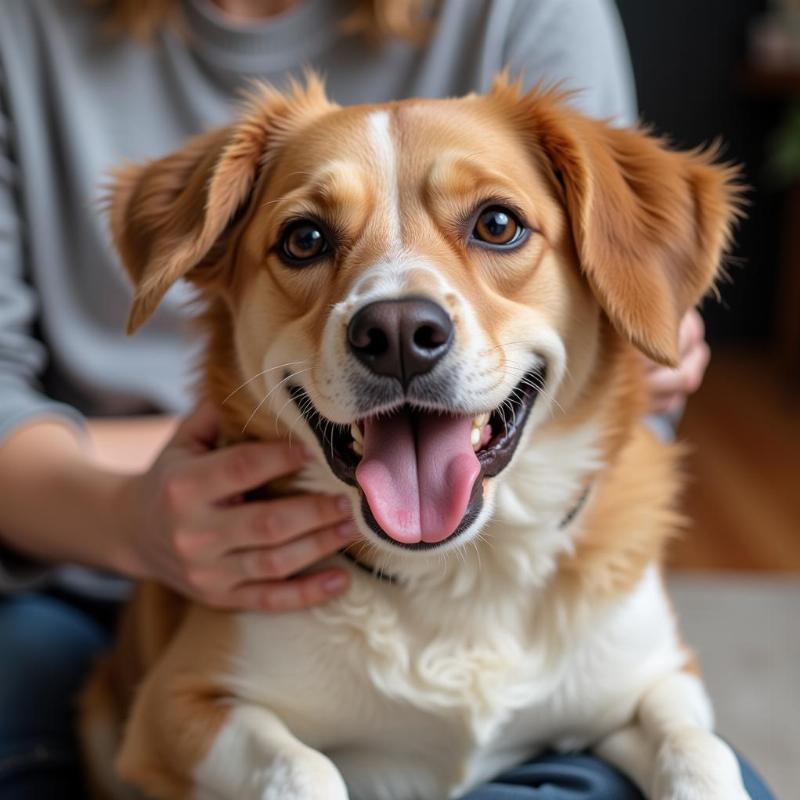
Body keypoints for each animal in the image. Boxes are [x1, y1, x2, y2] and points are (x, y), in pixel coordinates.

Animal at [78, 76, 748, 800]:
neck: (462, 576)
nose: (397, 332)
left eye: (498, 225)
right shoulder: (176, 707)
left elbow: (701, 750)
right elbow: (305, 768)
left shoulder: (657, 680)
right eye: (304, 238)